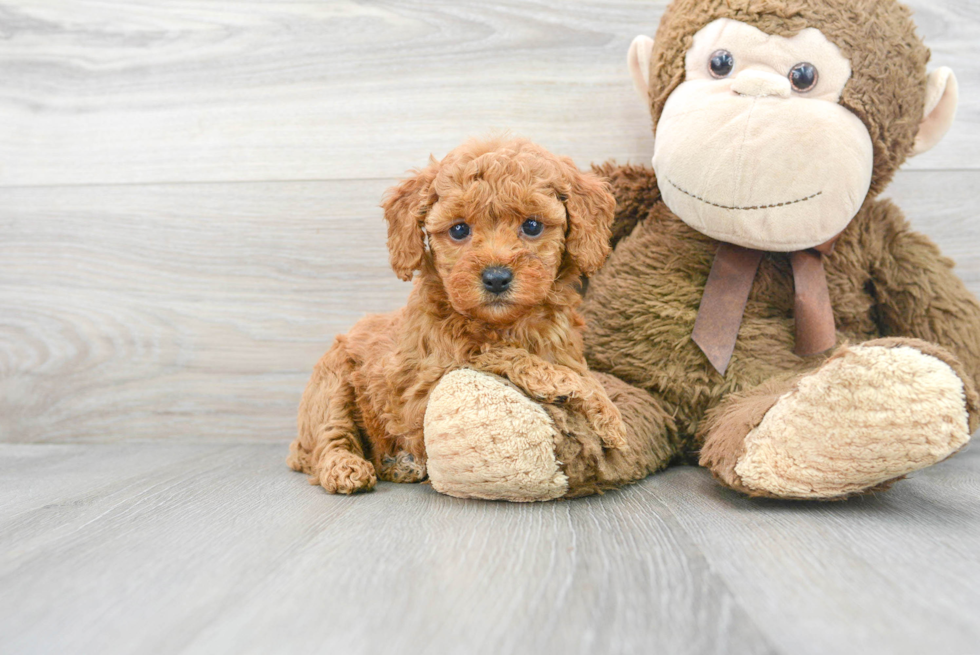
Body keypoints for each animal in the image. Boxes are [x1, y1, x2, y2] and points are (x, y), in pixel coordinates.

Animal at [288, 140, 624, 498]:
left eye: (532, 226)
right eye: (459, 229)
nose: (496, 278)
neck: (506, 323)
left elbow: (580, 372)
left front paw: (605, 409)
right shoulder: (425, 385)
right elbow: (496, 351)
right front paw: (571, 388)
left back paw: (401, 465)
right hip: (331, 383)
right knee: (330, 435)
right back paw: (346, 468)